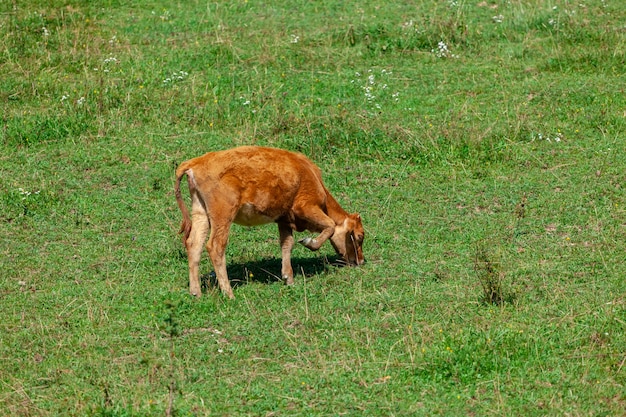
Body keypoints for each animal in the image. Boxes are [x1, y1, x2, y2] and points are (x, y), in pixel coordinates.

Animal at [173, 145, 364, 298]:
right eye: (359, 236)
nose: (360, 261)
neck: (308, 173)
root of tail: (196, 162)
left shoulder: (284, 219)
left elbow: (287, 244)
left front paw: (288, 278)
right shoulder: (305, 207)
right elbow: (330, 225)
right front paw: (309, 242)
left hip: (201, 213)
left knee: (194, 244)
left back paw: (196, 293)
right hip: (223, 216)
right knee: (216, 246)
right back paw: (228, 293)